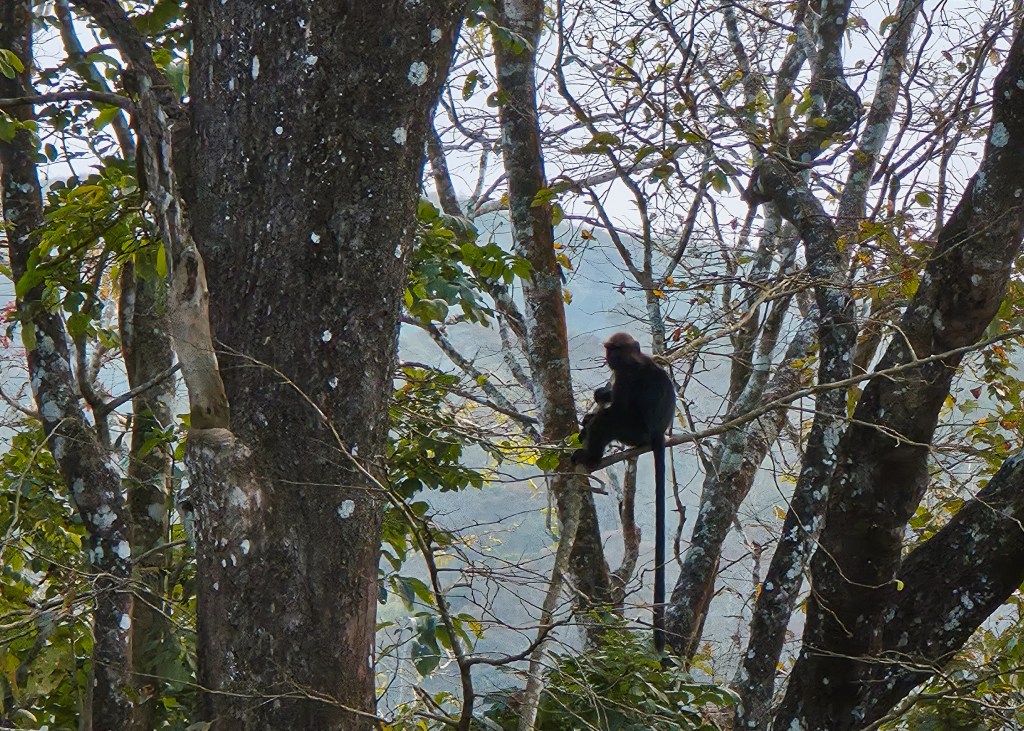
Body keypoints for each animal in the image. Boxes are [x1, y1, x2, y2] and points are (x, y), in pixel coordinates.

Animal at [572, 332, 675, 654]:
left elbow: (617, 408)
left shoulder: (627, 376)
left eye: (614, 350)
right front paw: (599, 396)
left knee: (610, 421)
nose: (608, 358)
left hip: (634, 433)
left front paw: (596, 411)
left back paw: (590, 454)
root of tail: (657, 434)